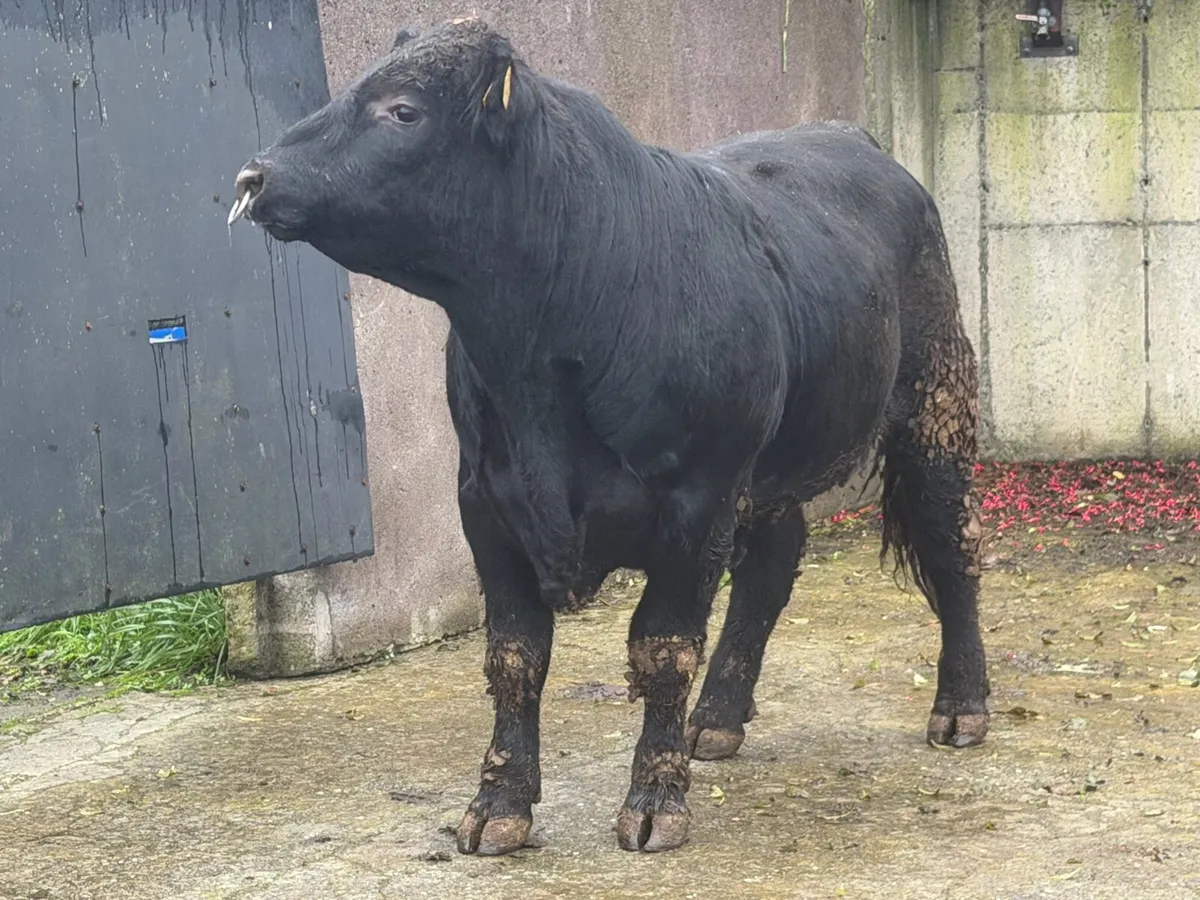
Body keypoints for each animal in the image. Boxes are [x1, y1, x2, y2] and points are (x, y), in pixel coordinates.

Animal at [228, 18, 990, 857]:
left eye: (403, 110)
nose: (253, 177)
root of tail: (849, 135)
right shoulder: (485, 504)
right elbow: (515, 657)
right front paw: (498, 806)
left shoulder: (697, 503)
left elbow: (662, 649)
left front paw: (655, 802)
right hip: (772, 469)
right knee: (772, 565)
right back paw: (715, 720)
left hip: (936, 406)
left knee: (951, 547)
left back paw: (961, 706)